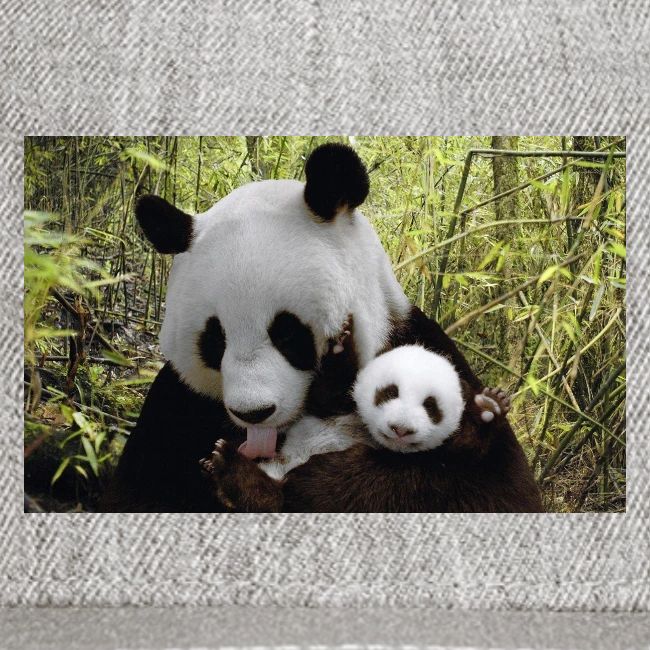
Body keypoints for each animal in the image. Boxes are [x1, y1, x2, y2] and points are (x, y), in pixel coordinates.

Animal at [102, 143, 541, 513]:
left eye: (287, 333)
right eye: (215, 339)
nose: (254, 413)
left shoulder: (422, 347)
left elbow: (490, 488)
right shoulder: (178, 405)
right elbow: (137, 492)